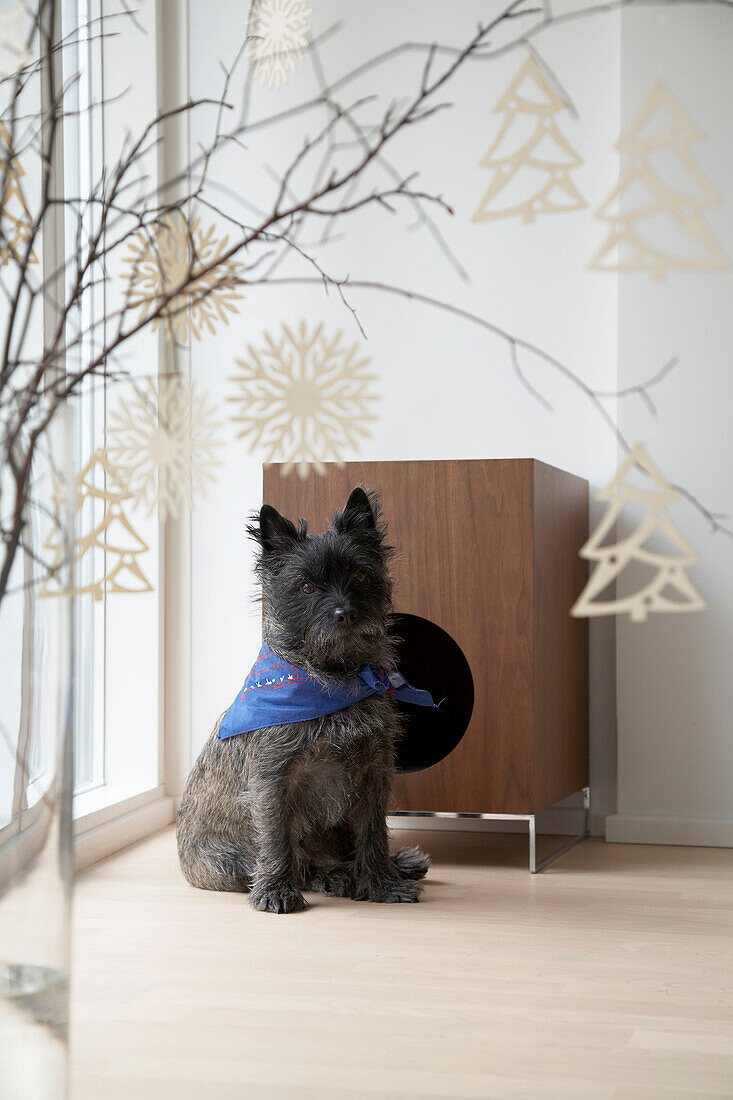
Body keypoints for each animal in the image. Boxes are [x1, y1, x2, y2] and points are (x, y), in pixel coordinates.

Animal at [177, 488, 429, 910]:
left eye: (360, 576)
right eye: (307, 587)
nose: (346, 614)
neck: (334, 679)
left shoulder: (373, 772)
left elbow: (373, 833)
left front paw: (383, 884)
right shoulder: (273, 779)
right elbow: (277, 836)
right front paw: (277, 891)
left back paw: (393, 866)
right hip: (229, 860)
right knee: (298, 864)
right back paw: (333, 877)